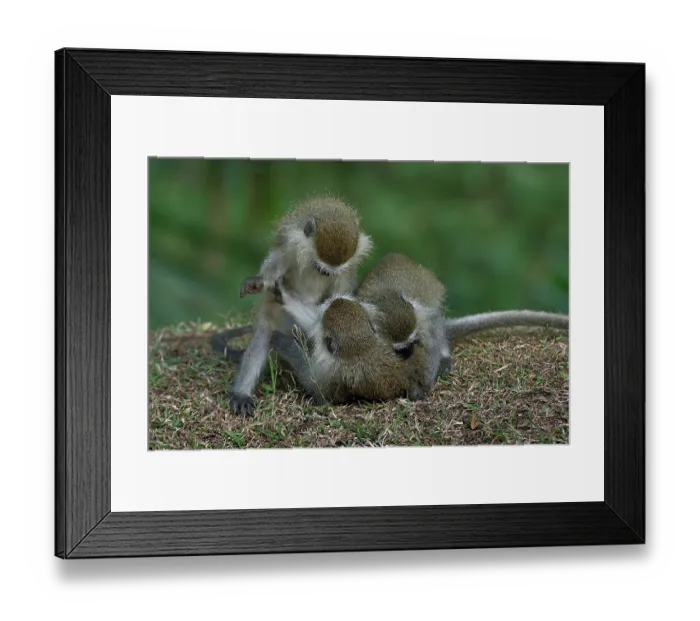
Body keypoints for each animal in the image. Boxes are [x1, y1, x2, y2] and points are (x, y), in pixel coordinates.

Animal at [226, 195, 373, 416]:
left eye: (328, 272)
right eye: (320, 268)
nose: (326, 273)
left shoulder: (345, 270)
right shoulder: (291, 244)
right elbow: (277, 261)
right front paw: (258, 280)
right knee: (265, 332)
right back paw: (241, 394)